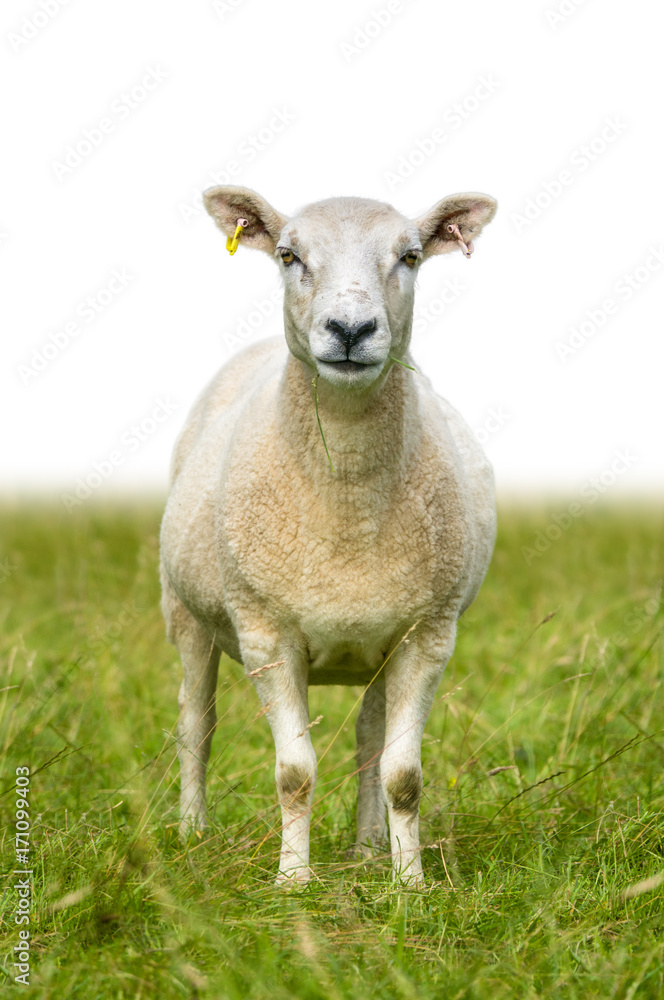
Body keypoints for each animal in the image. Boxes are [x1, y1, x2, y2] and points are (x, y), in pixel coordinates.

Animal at [158, 184, 496, 888]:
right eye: (289, 255)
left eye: (411, 256)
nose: (349, 331)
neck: (346, 507)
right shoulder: (266, 632)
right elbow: (294, 773)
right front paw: (292, 882)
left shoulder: (428, 634)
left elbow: (402, 773)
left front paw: (409, 883)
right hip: (187, 611)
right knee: (195, 721)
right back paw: (191, 832)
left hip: (377, 644)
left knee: (369, 738)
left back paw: (367, 848)